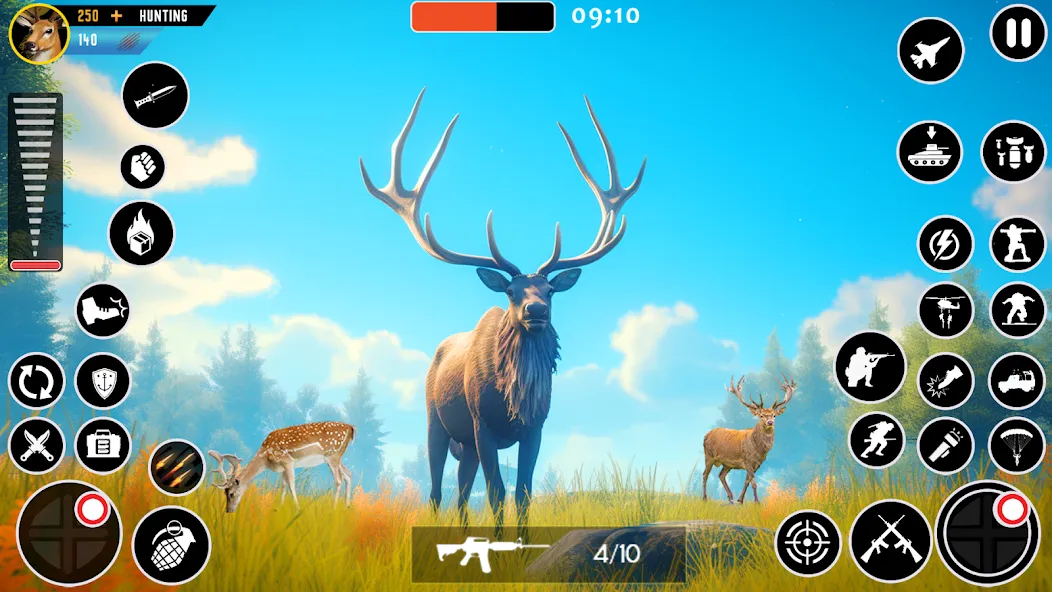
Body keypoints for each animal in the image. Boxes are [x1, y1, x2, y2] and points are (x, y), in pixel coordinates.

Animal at [208, 421, 356, 512]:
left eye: (231, 494)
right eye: (224, 493)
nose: (228, 510)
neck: (266, 457)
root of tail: (351, 428)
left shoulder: (287, 461)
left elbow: (291, 484)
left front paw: (297, 509)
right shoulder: (282, 467)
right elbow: (283, 485)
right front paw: (278, 508)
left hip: (332, 456)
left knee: (338, 480)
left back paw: (334, 508)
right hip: (337, 457)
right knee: (348, 474)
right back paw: (347, 507)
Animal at [360, 88, 644, 537]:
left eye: (550, 289)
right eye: (511, 290)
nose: (536, 309)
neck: (513, 397)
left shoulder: (535, 428)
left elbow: (523, 493)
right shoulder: (483, 425)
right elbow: (496, 493)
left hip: (465, 446)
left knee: (461, 494)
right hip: (437, 424)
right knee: (437, 491)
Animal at [701, 374, 796, 504]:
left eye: (774, 415)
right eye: (761, 415)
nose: (770, 422)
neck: (759, 450)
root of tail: (706, 435)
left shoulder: (757, 464)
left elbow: (747, 481)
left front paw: (740, 500)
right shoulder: (747, 460)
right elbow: (754, 482)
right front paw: (757, 502)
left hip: (727, 464)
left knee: (721, 475)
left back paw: (731, 497)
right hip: (708, 456)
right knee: (705, 474)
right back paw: (704, 498)